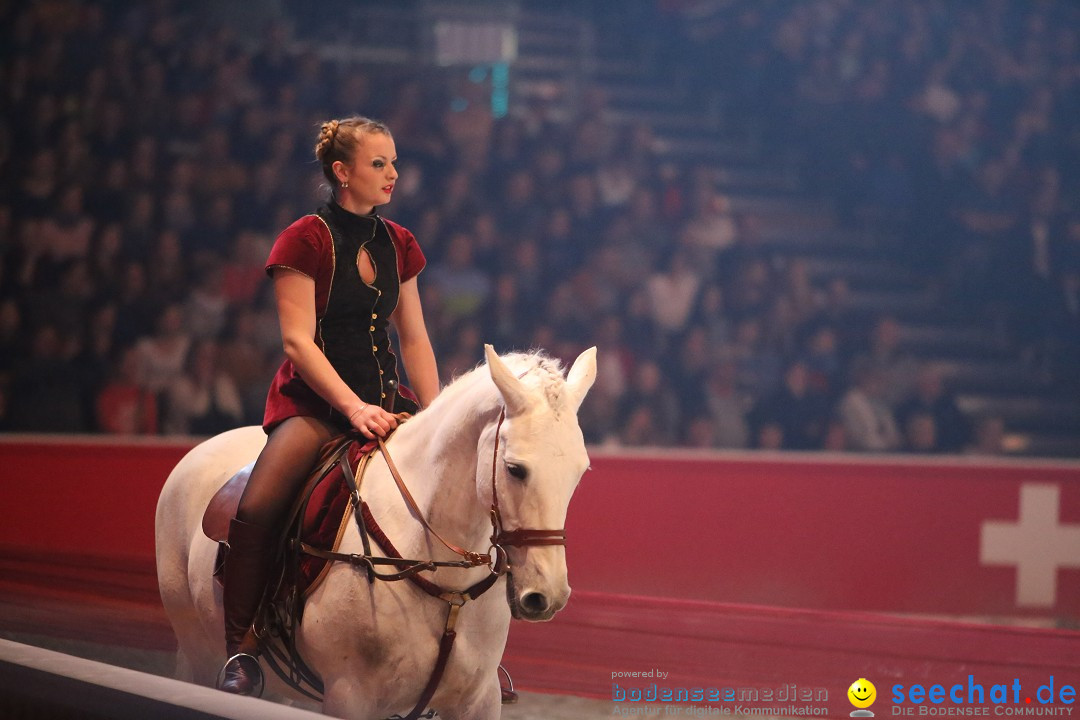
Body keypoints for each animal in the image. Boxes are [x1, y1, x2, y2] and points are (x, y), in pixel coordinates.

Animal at [156, 345, 600, 716]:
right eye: (514, 469)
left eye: (580, 472)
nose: (547, 597)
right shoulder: (350, 695)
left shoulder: (479, 699)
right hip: (197, 652)